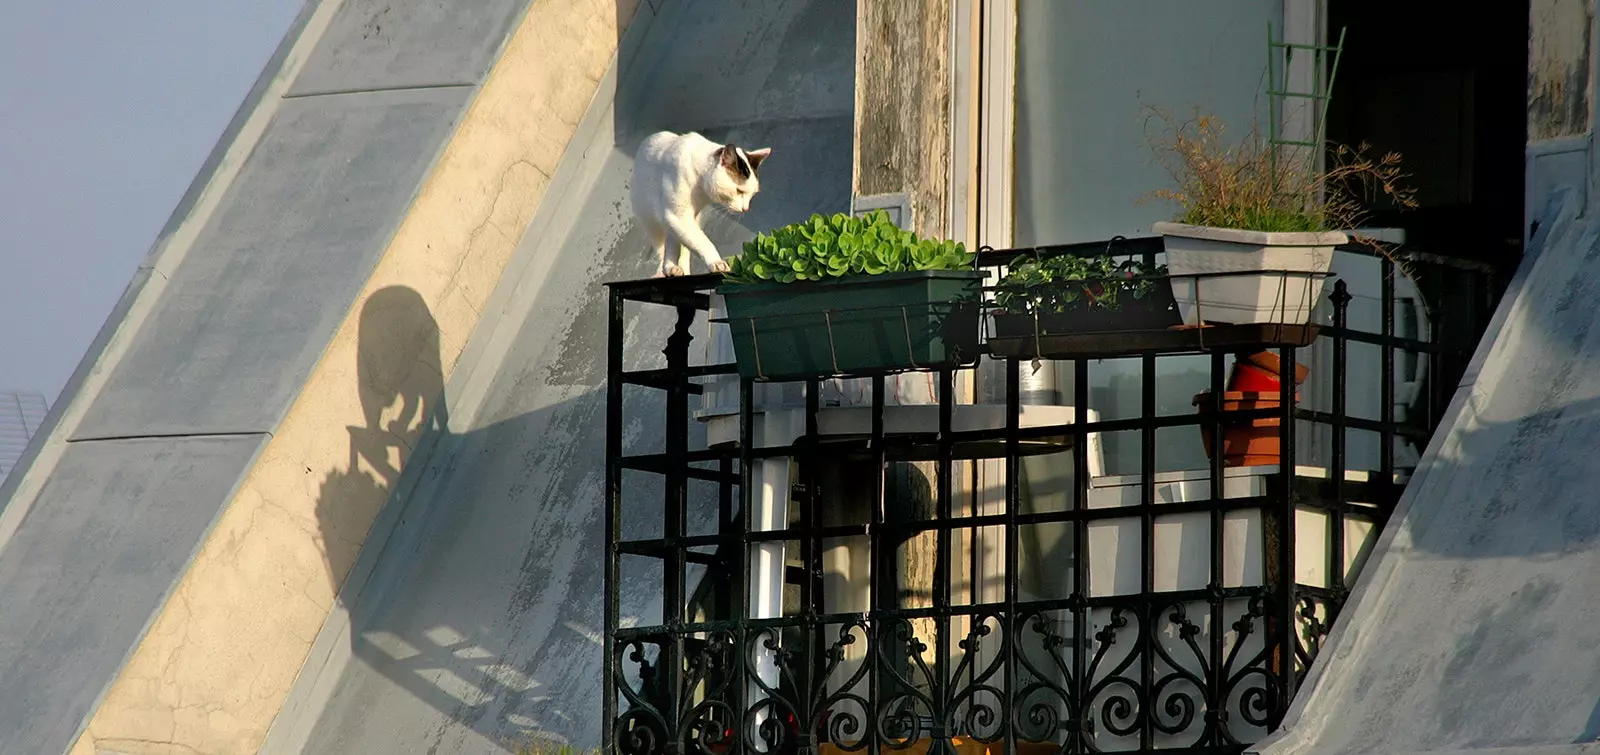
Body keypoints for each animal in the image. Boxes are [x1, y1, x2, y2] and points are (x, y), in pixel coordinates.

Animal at [627, 131, 771, 276]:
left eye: (753, 194)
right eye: (739, 190)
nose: (745, 208)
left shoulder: (682, 218)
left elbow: (687, 243)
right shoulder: (678, 216)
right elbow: (703, 242)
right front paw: (716, 262)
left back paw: (675, 268)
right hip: (652, 221)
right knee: (663, 246)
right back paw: (668, 269)